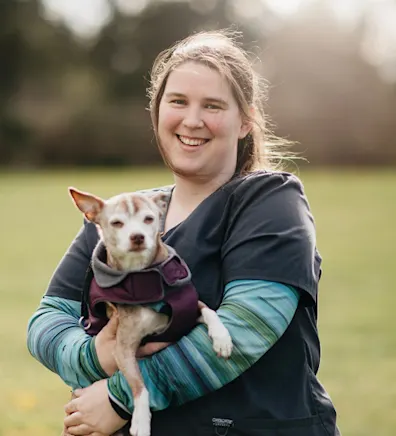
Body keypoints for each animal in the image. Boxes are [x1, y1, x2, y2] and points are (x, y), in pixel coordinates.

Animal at [69, 188, 232, 436]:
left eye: (149, 219)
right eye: (117, 223)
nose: (137, 236)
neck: (141, 277)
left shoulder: (189, 309)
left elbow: (210, 311)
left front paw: (222, 339)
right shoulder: (123, 349)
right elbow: (140, 386)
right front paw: (141, 421)